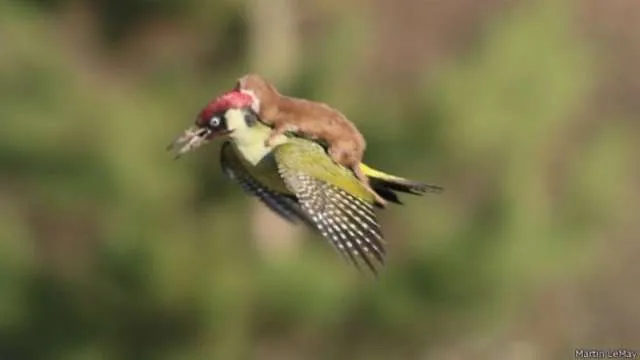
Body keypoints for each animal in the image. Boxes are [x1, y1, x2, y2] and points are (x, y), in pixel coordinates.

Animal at [234, 74, 388, 205]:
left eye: (240, 86)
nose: (236, 86)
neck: (269, 104)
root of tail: (359, 151)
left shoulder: (284, 119)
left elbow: (280, 128)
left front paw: (270, 140)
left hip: (339, 146)